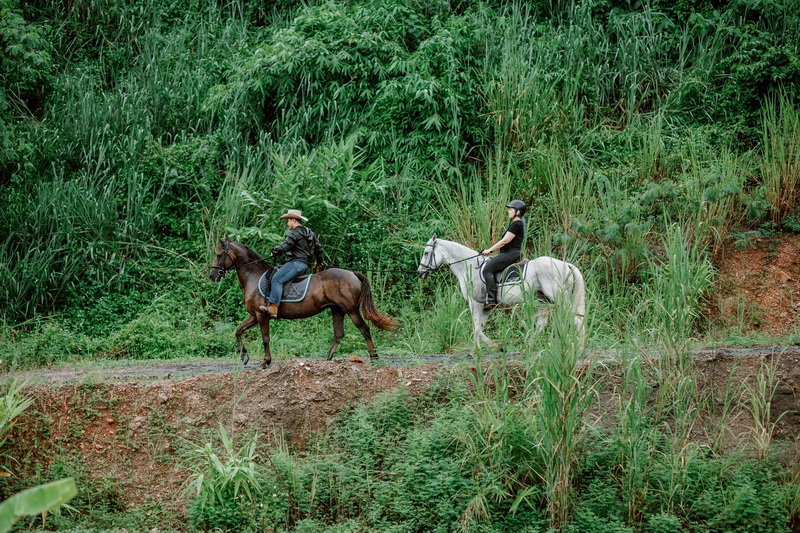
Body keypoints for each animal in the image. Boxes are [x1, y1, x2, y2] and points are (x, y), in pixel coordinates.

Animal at [209, 237, 401, 368]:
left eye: (219, 254)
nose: (212, 275)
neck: (254, 276)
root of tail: (353, 274)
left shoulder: (262, 315)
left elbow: (265, 338)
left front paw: (265, 361)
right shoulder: (254, 315)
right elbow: (238, 330)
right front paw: (244, 356)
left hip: (351, 309)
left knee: (365, 329)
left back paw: (374, 357)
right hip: (337, 310)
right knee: (339, 334)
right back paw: (328, 356)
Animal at [416, 235, 585, 350]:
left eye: (426, 253)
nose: (420, 273)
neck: (469, 267)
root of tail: (566, 265)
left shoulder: (475, 302)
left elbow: (476, 326)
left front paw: (479, 350)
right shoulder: (486, 307)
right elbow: (480, 327)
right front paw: (491, 347)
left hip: (558, 298)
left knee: (576, 320)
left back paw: (579, 347)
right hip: (543, 300)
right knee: (541, 324)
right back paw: (529, 346)